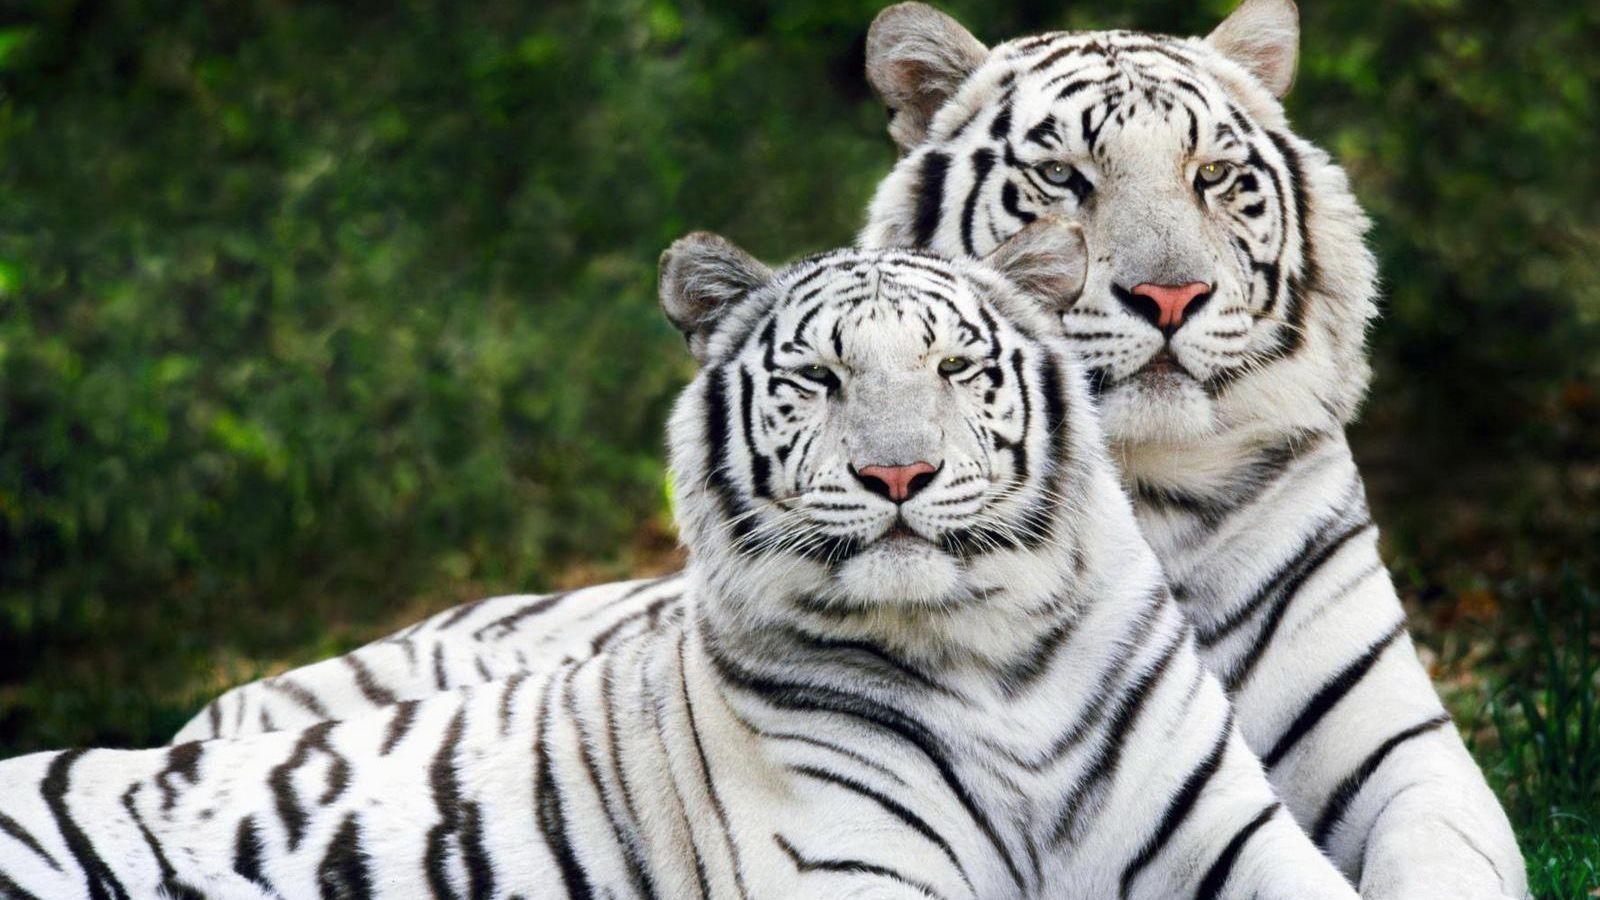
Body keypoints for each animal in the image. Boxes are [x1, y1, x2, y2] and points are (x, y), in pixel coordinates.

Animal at [0, 225, 1365, 900]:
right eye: (820, 378)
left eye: (954, 368)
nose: (900, 477)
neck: (990, 659)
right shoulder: (855, 876)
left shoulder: (1231, 838)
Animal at [171, 2, 1528, 898]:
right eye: (1063, 178)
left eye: (1215, 176)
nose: (1169, 297)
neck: (1144, 498)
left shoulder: (1399, 755)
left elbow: (1448, 861)